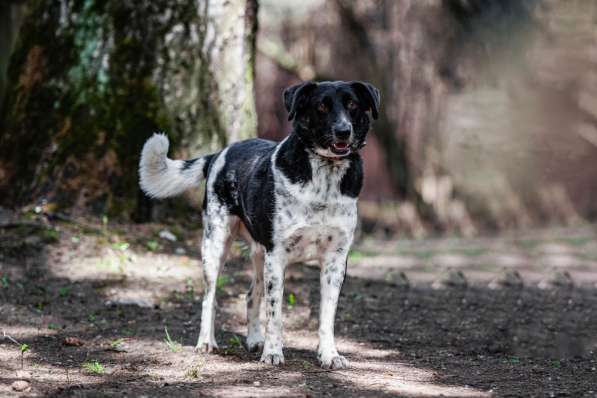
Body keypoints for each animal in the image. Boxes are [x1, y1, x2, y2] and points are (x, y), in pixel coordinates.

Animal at [139, 80, 378, 370]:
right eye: (321, 107)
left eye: (352, 104)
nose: (344, 131)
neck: (323, 179)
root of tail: (217, 154)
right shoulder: (277, 257)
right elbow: (275, 314)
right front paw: (273, 353)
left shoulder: (335, 260)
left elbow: (326, 316)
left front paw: (329, 354)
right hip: (215, 245)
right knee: (210, 298)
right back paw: (206, 342)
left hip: (258, 256)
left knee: (251, 295)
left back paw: (254, 340)